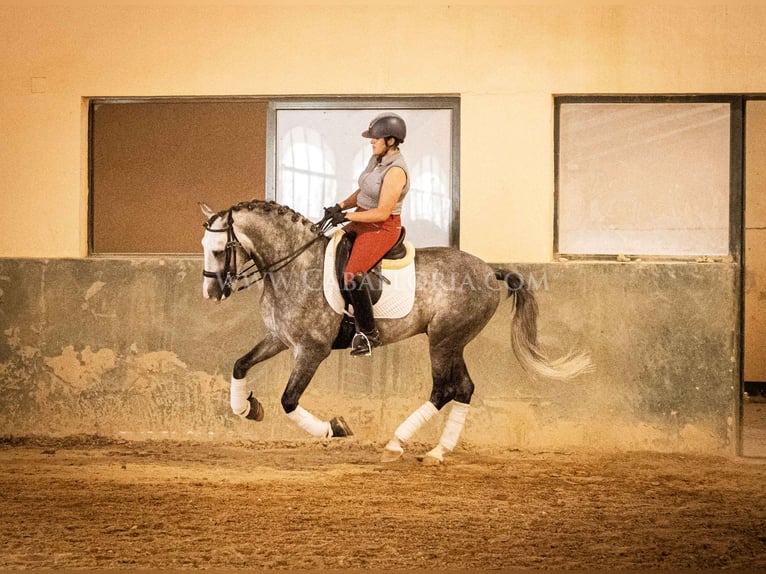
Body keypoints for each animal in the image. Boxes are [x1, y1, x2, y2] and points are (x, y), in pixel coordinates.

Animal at [200, 200, 592, 466]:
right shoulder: (280, 339)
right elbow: (239, 365)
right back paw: (437, 450)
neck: (295, 264)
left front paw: (334, 429)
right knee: (464, 388)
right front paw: (247, 408)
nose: (211, 294)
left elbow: (289, 400)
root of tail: (488, 270)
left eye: (219, 250)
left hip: (444, 340)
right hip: (453, 342)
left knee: (443, 389)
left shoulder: (311, 350)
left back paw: (397, 444)